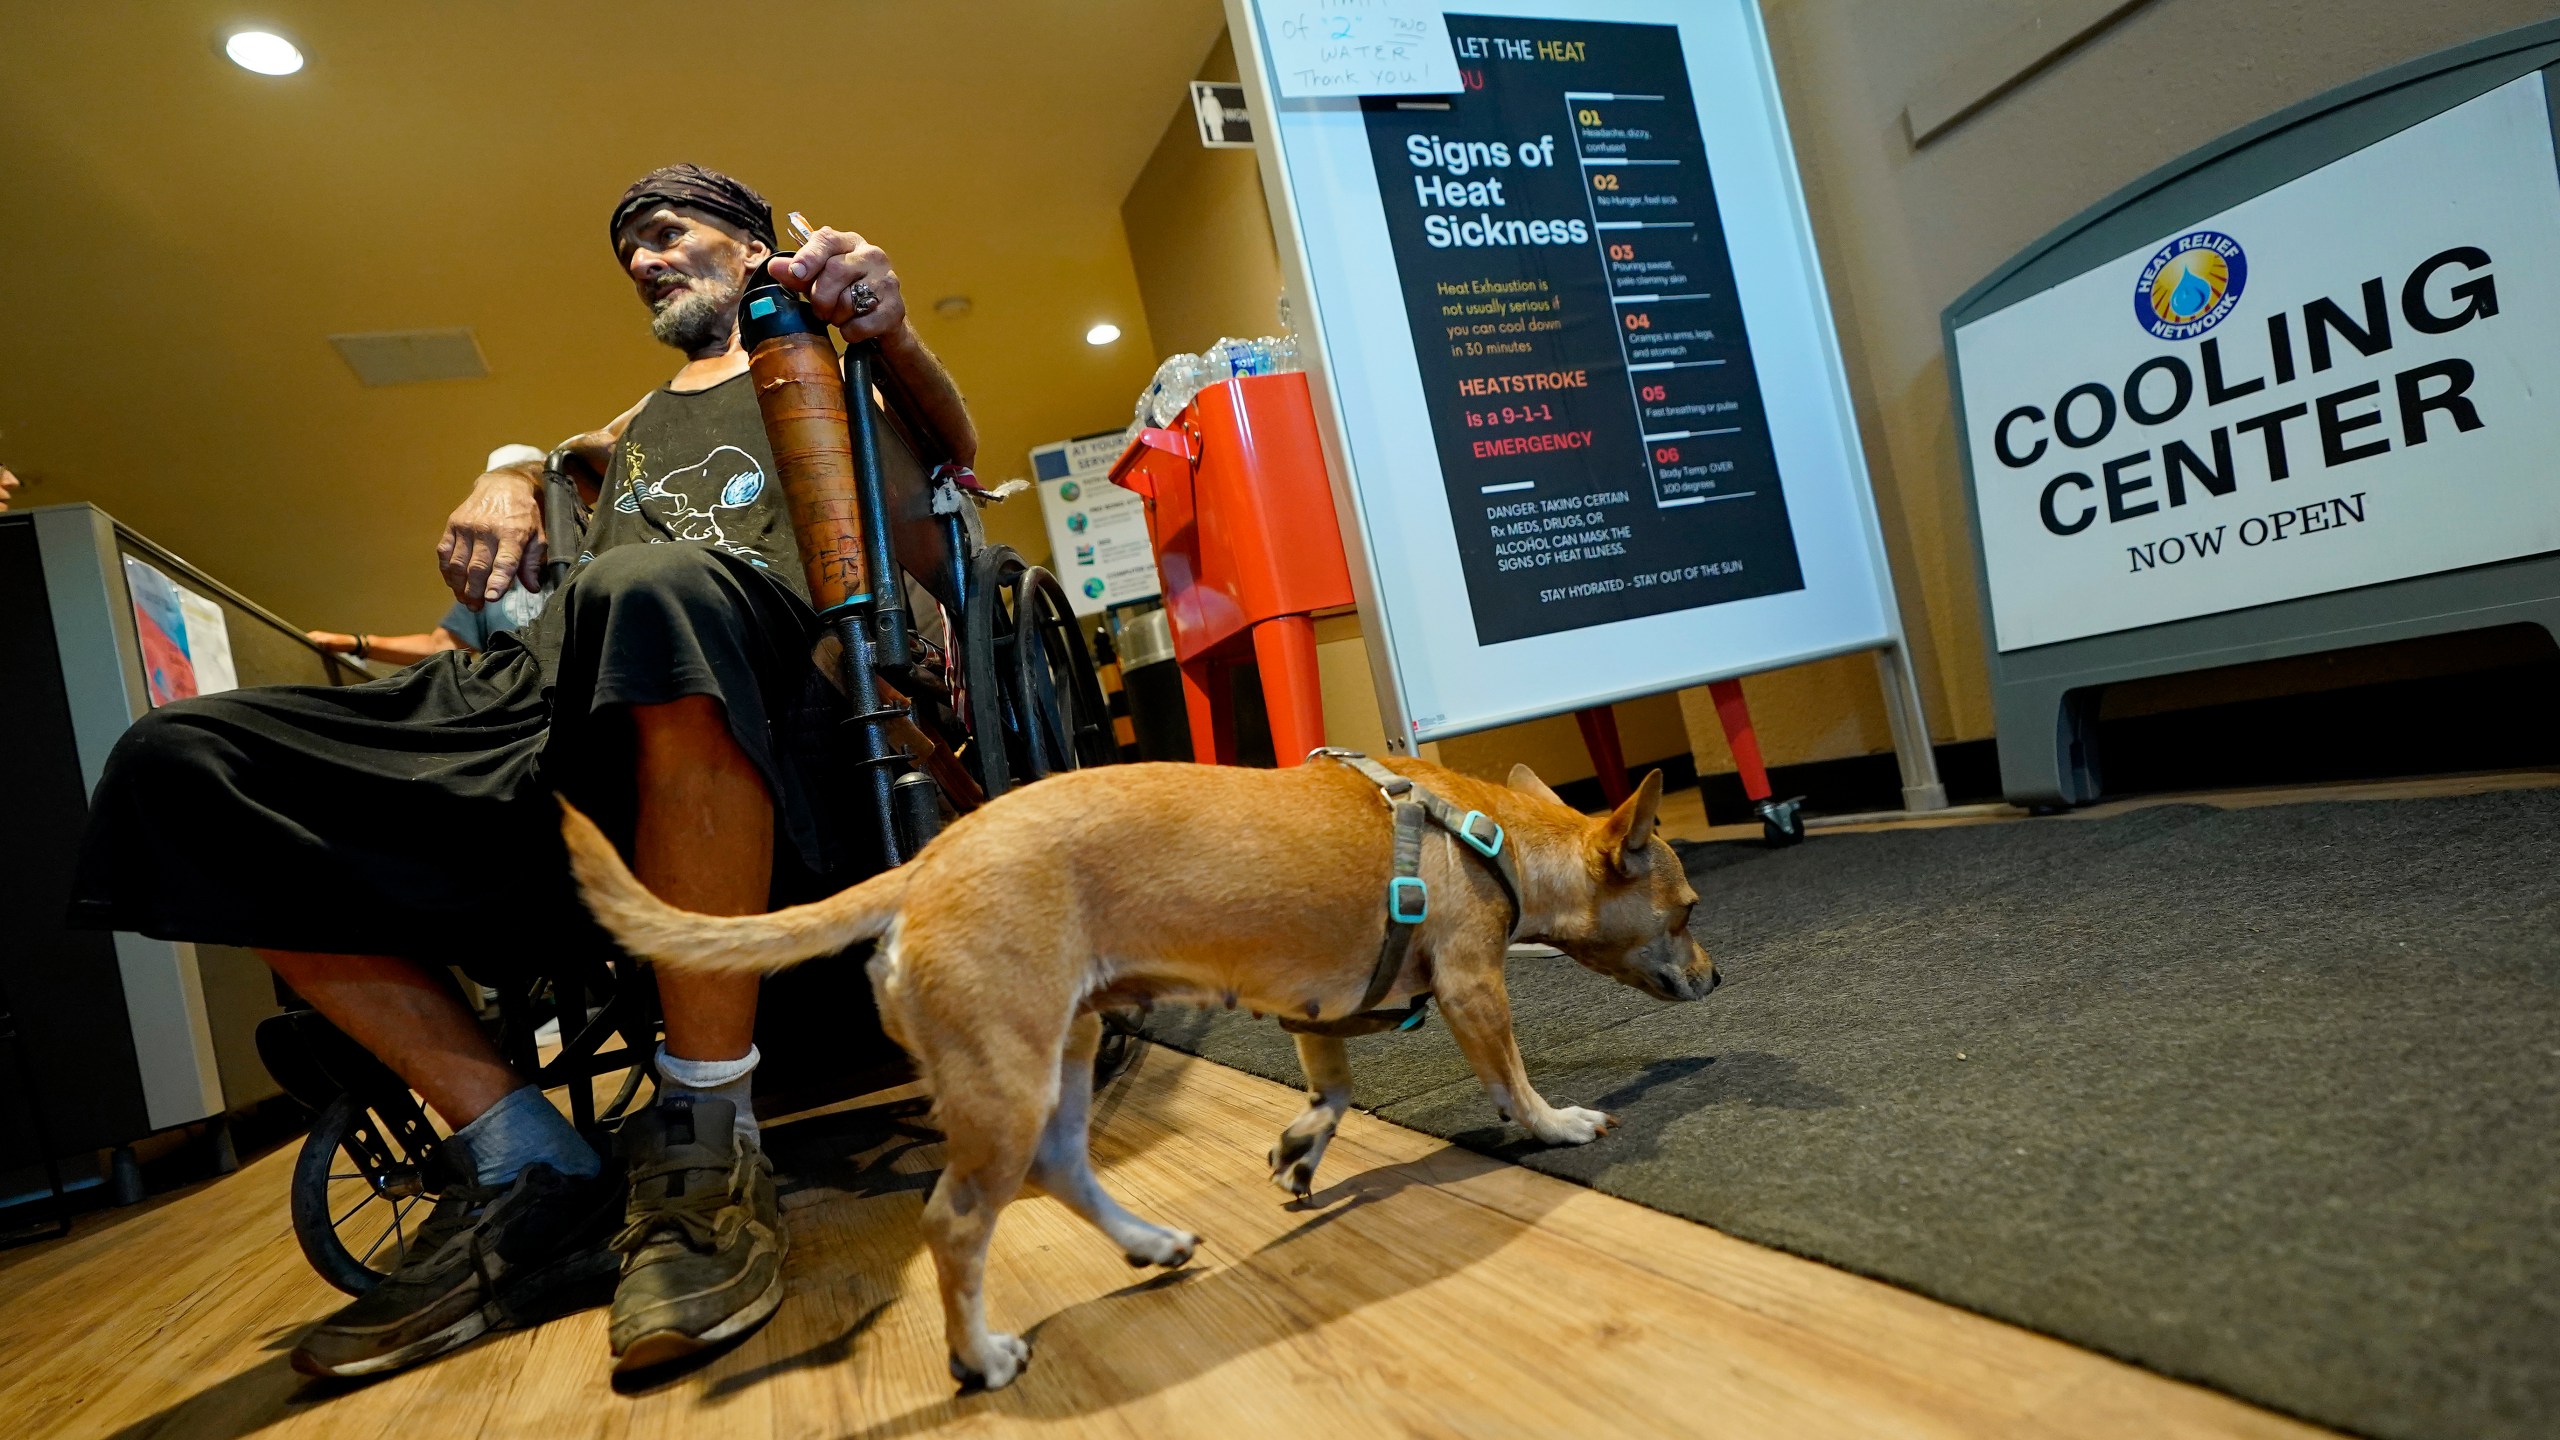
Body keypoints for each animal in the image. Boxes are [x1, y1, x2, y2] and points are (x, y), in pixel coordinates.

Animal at [565, 758, 1720, 1383]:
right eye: (1688, 909)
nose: (1718, 973)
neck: (1497, 834)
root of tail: (924, 865)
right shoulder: (1477, 988)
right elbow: (1510, 1082)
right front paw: (1557, 1124)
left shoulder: (1311, 1008)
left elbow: (1333, 1088)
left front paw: (1304, 1152)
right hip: (1009, 1082)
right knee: (957, 1223)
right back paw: (979, 1355)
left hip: (1065, 1056)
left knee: (1065, 1171)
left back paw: (1148, 1242)